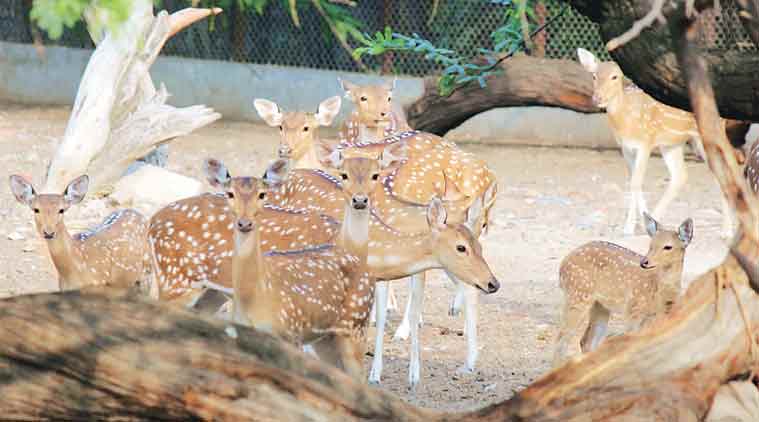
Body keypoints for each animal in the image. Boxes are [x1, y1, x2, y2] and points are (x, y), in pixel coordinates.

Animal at [553, 212, 693, 367]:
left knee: (586, 341)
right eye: (651, 245)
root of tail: (562, 265)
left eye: (668, 247)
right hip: (578, 295)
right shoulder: (633, 310)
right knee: (561, 338)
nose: (644, 262)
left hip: (600, 306)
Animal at [577, 48, 733, 238]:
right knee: (681, 175)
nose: (597, 98)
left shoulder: (646, 141)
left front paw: (628, 228)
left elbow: (636, 182)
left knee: (729, 165)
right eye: (594, 75)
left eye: (615, 76)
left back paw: (728, 230)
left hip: (712, 134)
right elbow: (634, 180)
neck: (626, 120)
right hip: (672, 144)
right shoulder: (625, 147)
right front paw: (644, 222)